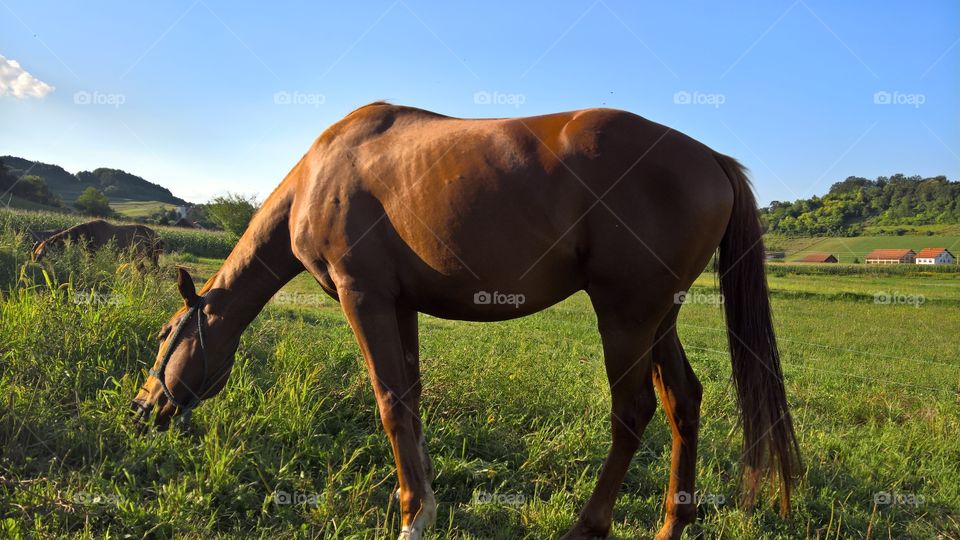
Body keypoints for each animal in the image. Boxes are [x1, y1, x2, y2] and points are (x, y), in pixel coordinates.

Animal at [33, 217, 163, 264]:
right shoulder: (90, 255)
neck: (88, 233)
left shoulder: (93, 255)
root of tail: (157, 236)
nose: (34, 261)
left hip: (147, 257)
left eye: (41, 252)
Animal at [131, 102, 800, 540]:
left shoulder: (363, 298)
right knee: (683, 400)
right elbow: (411, 401)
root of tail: (709, 158)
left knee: (632, 413)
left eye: (165, 336)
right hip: (660, 317)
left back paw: (588, 525)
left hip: (626, 315)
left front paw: (412, 517)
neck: (318, 176)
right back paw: (671, 524)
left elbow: (390, 403)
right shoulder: (399, 305)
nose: (141, 407)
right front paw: (422, 501)